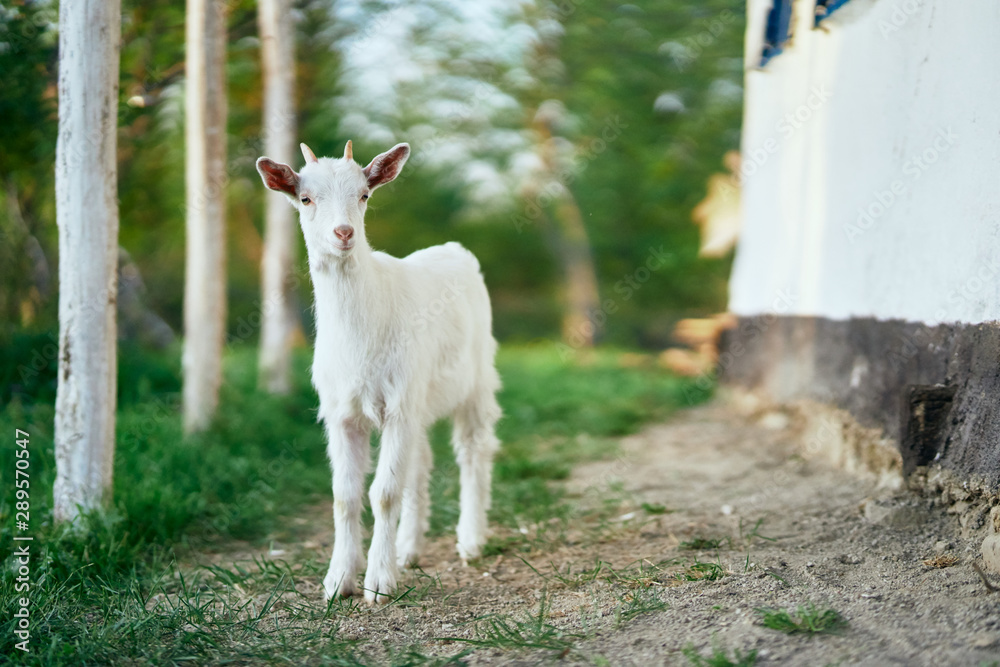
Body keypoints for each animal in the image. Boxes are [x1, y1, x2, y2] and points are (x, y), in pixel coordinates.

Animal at [256, 141, 501, 604]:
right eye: (305, 198)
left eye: (364, 195)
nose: (343, 234)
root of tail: (453, 248)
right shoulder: (342, 411)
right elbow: (345, 495)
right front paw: (338, 581)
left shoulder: (399, 405)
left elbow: (384, 493)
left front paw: (379, 584)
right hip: (420, 398)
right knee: (420, 464)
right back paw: (409, 549)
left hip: (476, 379)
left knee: (474, 450)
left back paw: (470, 540)